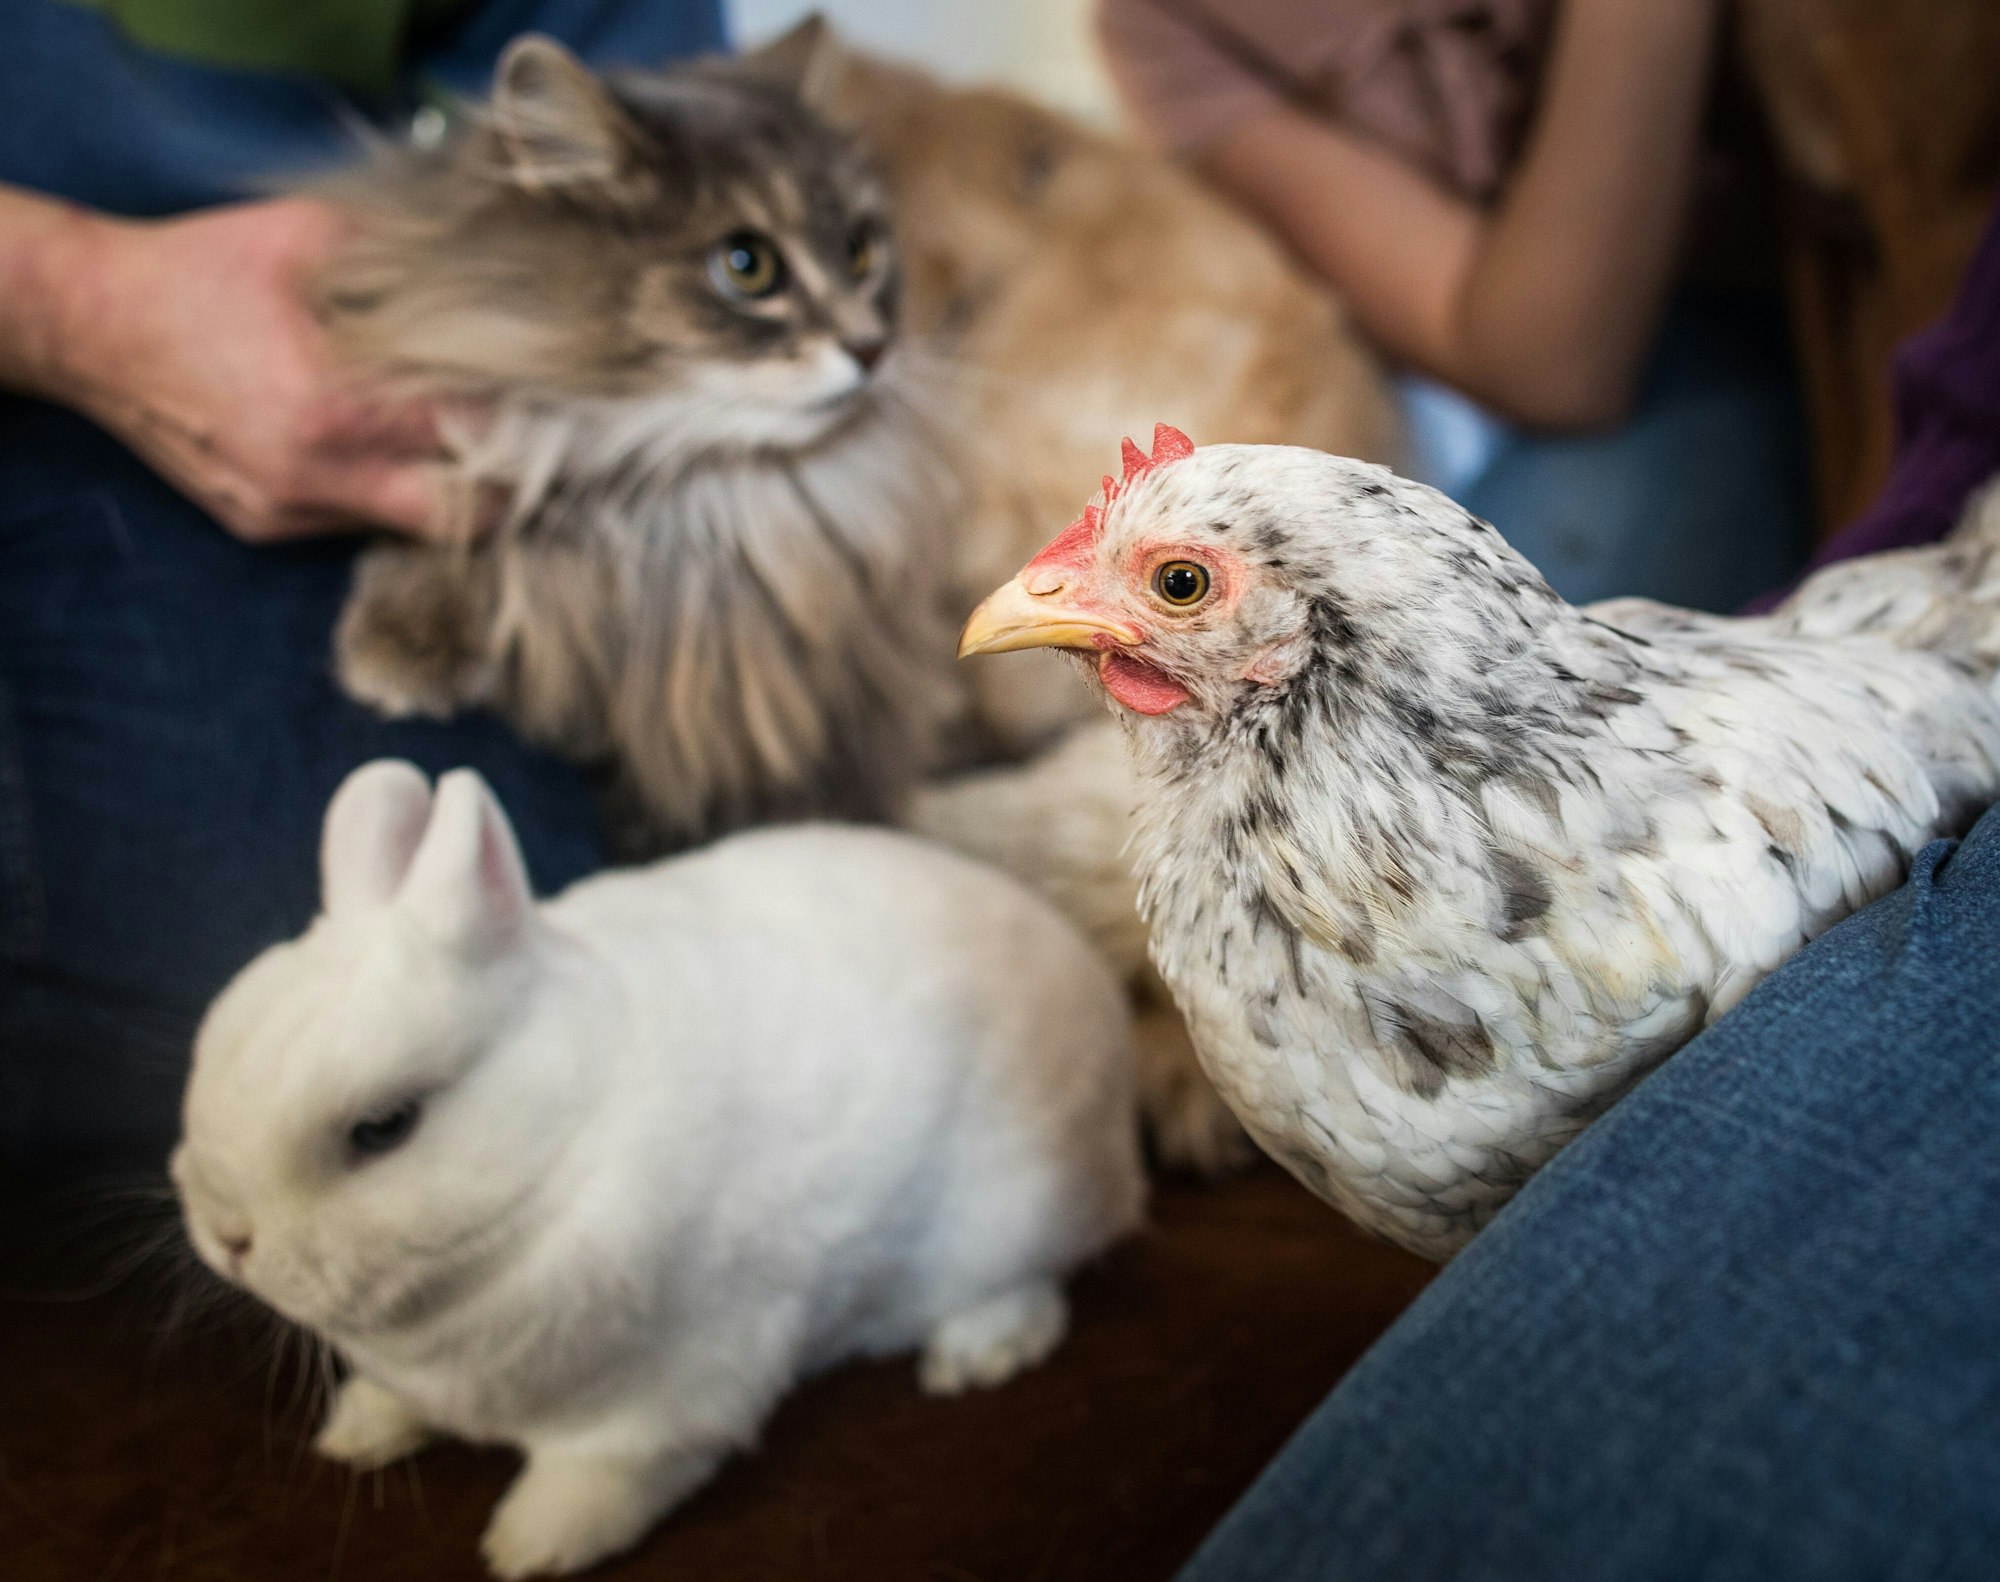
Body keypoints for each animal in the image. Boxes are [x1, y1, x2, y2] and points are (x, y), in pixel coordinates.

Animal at [172, 759, 1145, 1579]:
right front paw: (355, 1434)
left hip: (1009, 1220)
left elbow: (604, 1477)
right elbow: (393, 1402)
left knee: (1035, 1289)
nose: (228, 1241)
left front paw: (527, 1549)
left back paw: (972, 1357)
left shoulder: (669, 1398)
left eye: (384, 1128)